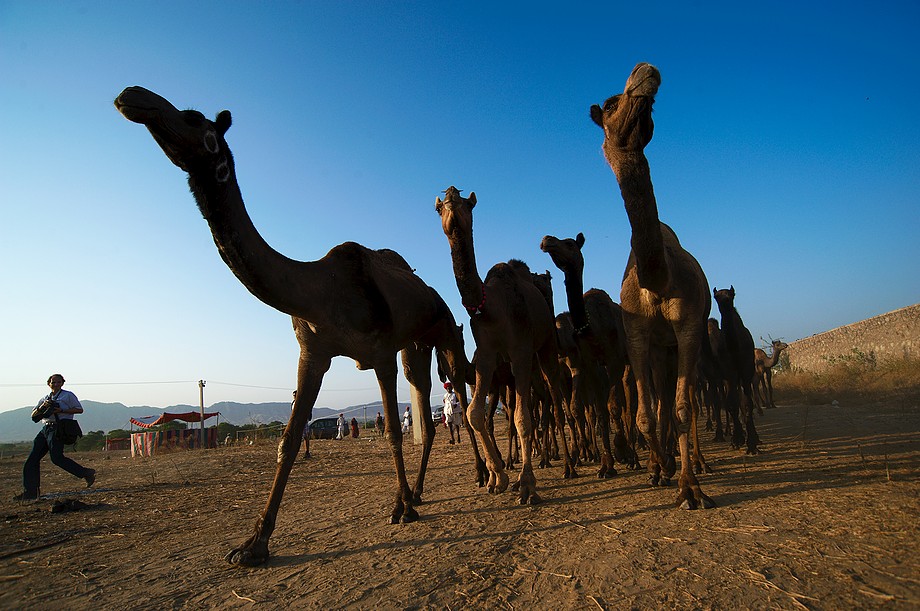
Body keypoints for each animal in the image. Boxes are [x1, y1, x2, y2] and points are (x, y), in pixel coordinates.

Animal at [115, 87, 471, 566]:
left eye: (191, 117)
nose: (132, 96)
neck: (320, 290)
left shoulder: (378, 353)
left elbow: (393, 431)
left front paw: (401, 512)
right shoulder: (313, 352)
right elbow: (286, 441)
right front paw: (253, 544)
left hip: (443, 331)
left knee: (459, 393)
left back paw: (477, 477)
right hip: (413, 346)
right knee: (430, 410)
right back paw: (414, 492)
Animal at [435, 186, 574, 502]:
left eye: (468, 204)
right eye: (439, 208)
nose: (450, 194)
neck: (490, 309)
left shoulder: (520, 350)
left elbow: (523, 418)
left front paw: (527, 485)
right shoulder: (487, 355)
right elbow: (474, 414)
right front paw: (496, 477)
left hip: (545, 347)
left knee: (554, 400)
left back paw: (569, 465)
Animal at [540, 233, 636, 477]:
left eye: (569, 243)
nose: (547, 240)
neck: (591, 328)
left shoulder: (611, 360)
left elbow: (613, 406)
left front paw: (620, 451)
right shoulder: (589, 364)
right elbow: (595, 411)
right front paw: (605, 464)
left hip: (629, 357)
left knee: (632, 399)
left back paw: (637, 455)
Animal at [590, 63, 715, 509]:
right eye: (611, 103)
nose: (645, 70)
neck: (657, 279)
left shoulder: (690, 325)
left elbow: (681, 409)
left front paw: (690, 488)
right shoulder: (638, 334)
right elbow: (645, 413)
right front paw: (658, 469)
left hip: (682, 344)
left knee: (685, 401)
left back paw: (696, 464)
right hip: (661, 349)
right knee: (658, 401)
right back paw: (663, 463)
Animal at [713, 286, 760, 454]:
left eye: (731, 294)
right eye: (717, 296)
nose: (725, 300)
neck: (733, 347)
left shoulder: (746, 370)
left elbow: (747, 403)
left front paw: (751, 443)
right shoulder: (728, 372)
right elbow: (731, 403)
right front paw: (736, 439)